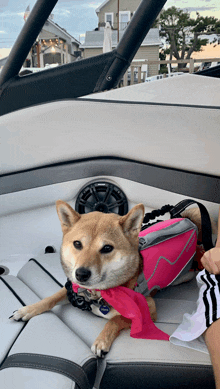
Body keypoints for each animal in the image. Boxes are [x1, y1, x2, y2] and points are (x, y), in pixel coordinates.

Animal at [10, 200, 156, 354]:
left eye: (107, 248)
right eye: (77, 244)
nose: (81, 274)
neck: (95, 294)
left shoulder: (149, 311)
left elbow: (115, 320)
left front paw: (101, 341)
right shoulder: (72, 289)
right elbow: (50, 298)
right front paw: (27, 310)